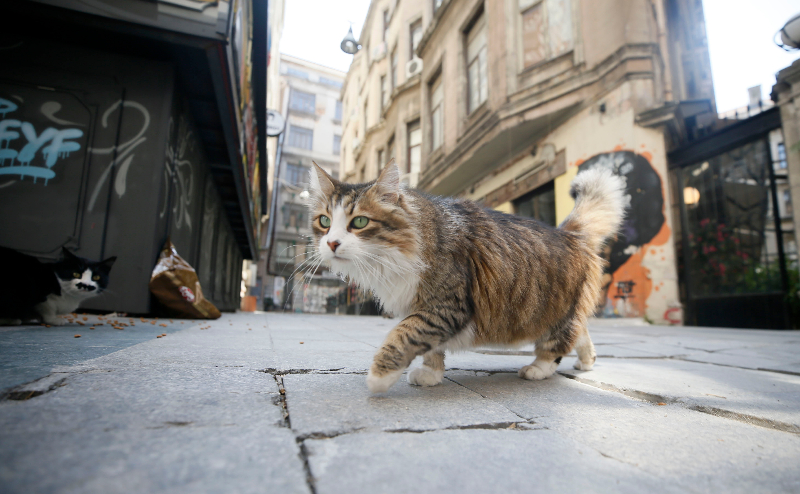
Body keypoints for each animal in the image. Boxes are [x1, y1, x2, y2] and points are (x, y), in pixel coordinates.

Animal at [306, 162, 624, 394]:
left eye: (359, 222)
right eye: (324, 221)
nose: (331, 243)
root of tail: (568, 233)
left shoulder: (445, 305)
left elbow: (403, 335)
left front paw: (378, 377)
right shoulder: (424, 307)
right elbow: (430, 347)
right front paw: (431, 374)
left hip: (553, 309)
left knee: (558, 343)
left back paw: (538, 369)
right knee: (581, 332)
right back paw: (586, 362)